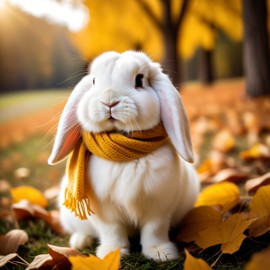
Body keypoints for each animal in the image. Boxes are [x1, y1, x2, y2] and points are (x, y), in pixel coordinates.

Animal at [49, 51, 200, 262]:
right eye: (94, 80)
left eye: (139, 79)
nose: (109, 101)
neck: (123, 156)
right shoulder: (105, 212)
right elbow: (112, 232)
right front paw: (111, 254)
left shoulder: (158, 208)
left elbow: (154, 231)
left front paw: (161, 253)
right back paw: (79, 241)